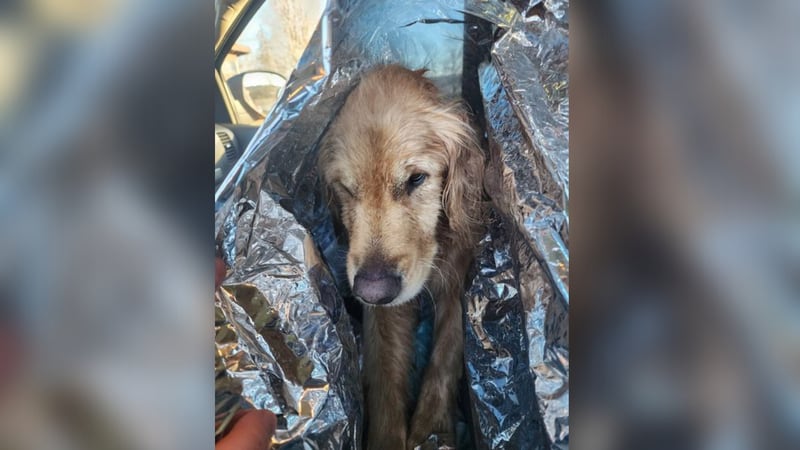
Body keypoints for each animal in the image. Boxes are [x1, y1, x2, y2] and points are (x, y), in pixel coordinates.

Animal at [318, 65, 482, 448]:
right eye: (347, 189)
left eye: (417, 179)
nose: (373, 291)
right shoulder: (383, 309)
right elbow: (383, 381)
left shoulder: (455, 275)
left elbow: (447, 348)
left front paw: (432, 429)